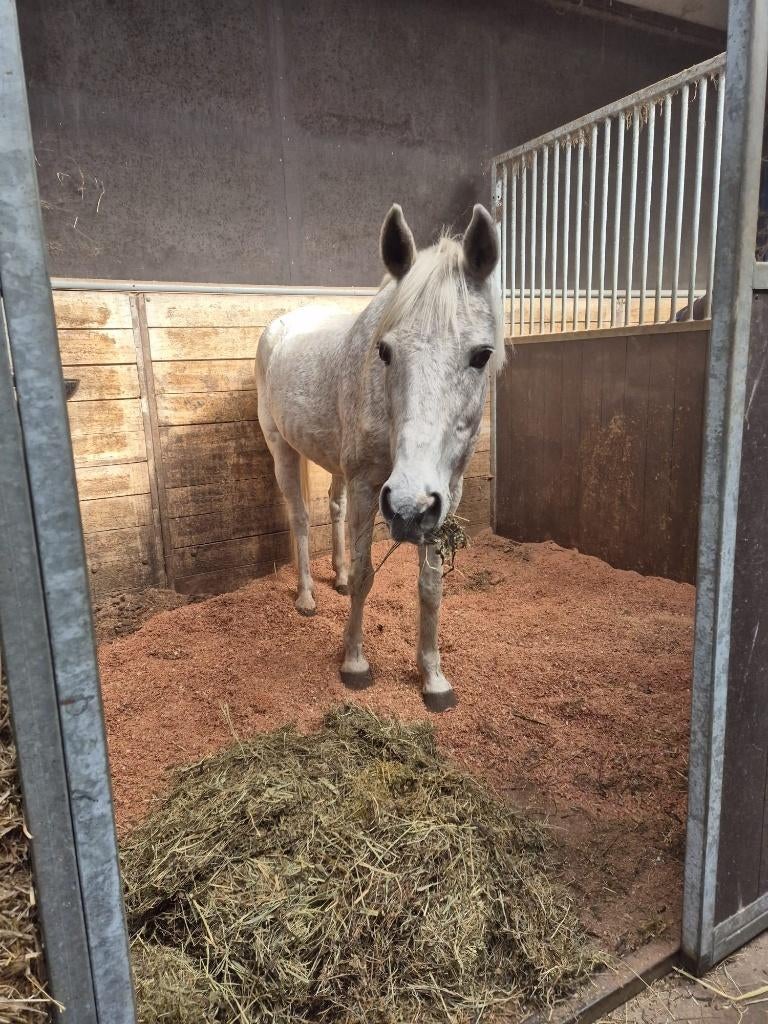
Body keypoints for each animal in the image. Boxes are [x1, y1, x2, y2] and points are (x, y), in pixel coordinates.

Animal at [256, 203, 504, 711]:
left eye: (481, 355)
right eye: (385, 351)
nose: (408, 507)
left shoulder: (445, 496)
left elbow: (430, 588)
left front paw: (433, 678)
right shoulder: (369, 486)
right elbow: (367, 574)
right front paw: (354, 663)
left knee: (332, 506)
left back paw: (336, 577)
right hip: (282, 448)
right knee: (300, 519)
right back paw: (307, 597)